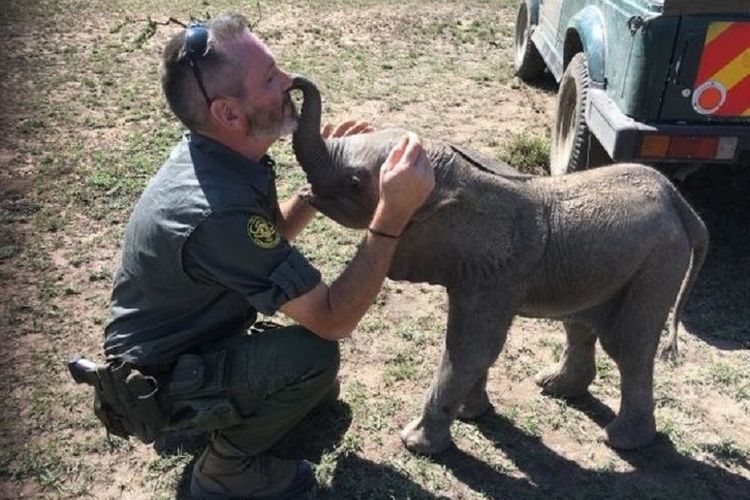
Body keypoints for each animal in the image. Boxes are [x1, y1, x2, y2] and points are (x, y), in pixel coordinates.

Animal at [290, 75, 712, 454]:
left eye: (355, 182)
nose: (293, 82)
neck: (460, 179)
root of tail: (678, 201)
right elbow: (475, 348)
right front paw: (472, 415)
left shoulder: (494, 277)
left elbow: (470, 349)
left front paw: (416, 444)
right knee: (579, 325)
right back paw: (553, 386)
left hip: (657, 266)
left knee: (628, 348)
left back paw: (620, 441)